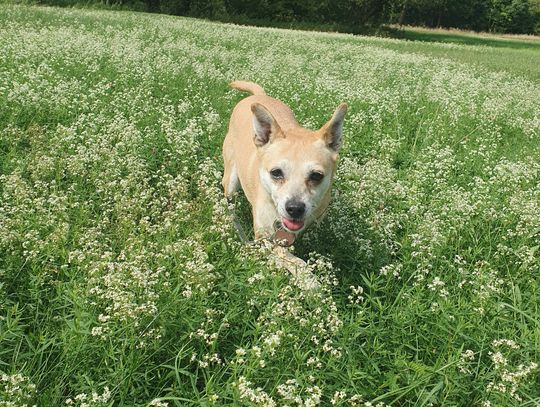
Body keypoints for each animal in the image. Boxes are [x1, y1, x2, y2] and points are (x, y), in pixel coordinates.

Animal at [223, 80, 346, 249]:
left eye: (316, 176)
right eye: (276, 173)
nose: (295, 209)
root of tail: (260, 95)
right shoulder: (265, 235)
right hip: (231, 180)